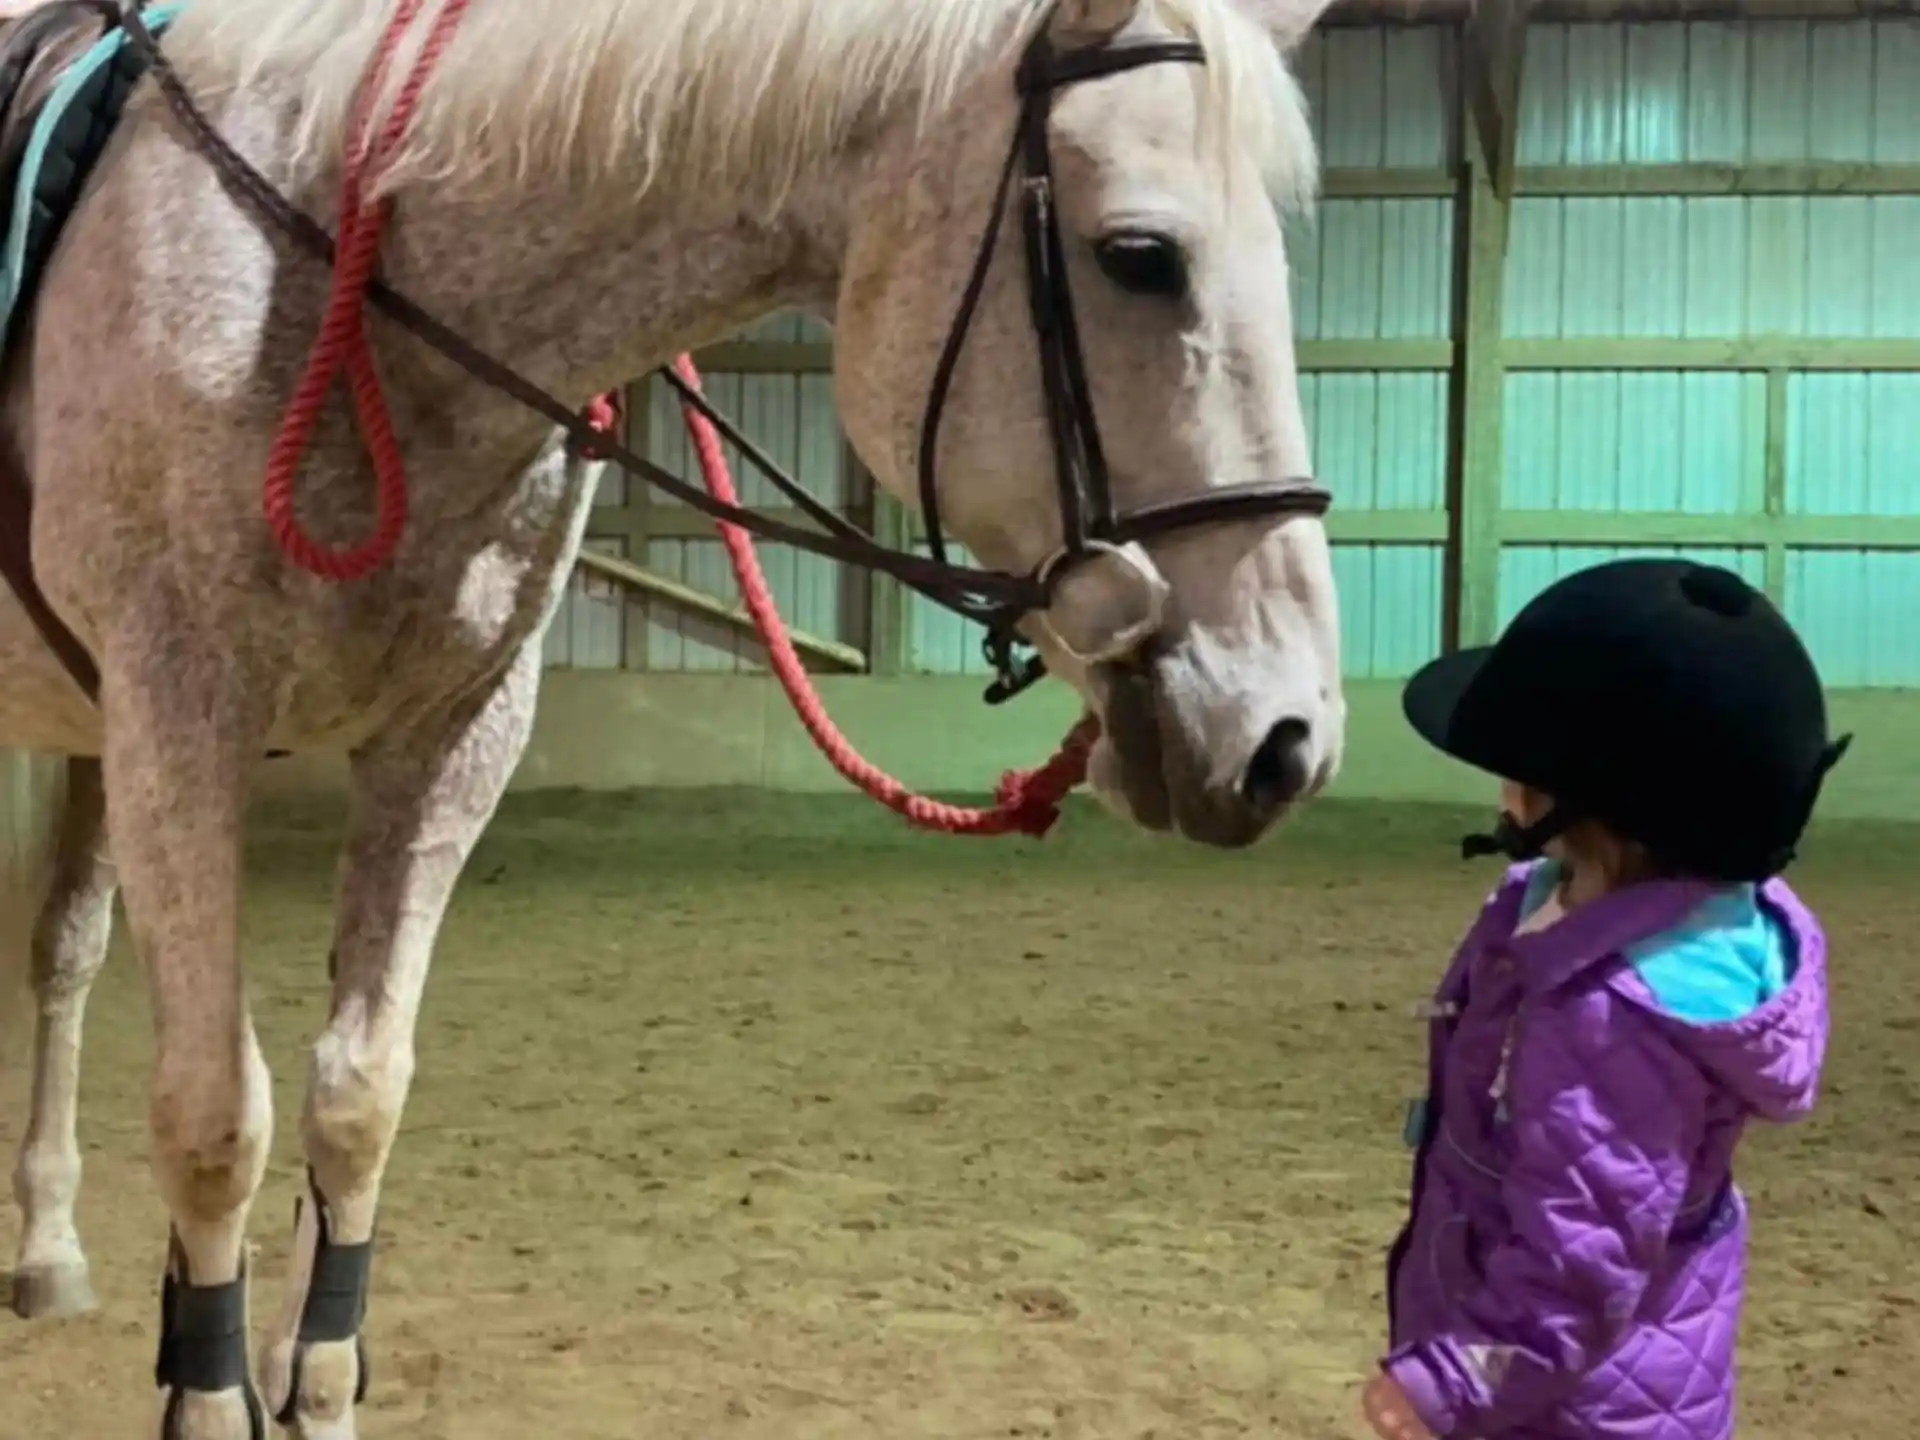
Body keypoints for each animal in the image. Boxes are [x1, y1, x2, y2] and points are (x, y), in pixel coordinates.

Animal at [0, 0, 1344, 1433]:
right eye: (1140, 258)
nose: (1289, 739)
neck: (346, 273)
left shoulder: (447, 739)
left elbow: (357, 1097)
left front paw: (317, 1390)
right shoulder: (179, 717)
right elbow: (213, 1120)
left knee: (67, 953)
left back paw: (50, 1248)